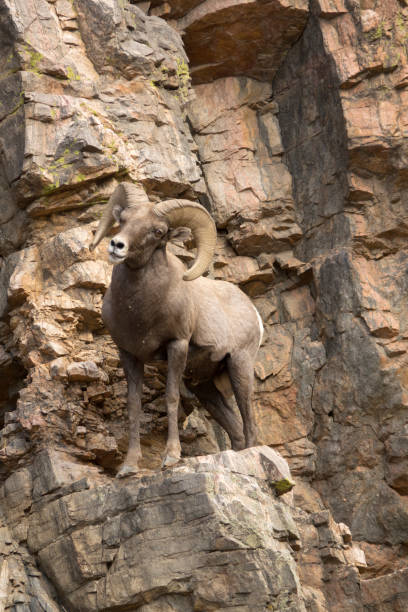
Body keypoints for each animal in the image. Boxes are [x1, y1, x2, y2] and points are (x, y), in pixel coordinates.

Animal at [90, 183, 262, 478]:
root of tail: (252, 310)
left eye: (158, 232)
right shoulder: (129, 355)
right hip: (205, 387)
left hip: (239, 365)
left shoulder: (176, 345)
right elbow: (133, 406)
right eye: (122, 219)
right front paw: (128, 467)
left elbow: (170, 398)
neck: (140, 310)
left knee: (248, 419)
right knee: (236, 430)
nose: (117, 245)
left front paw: (170, 457)